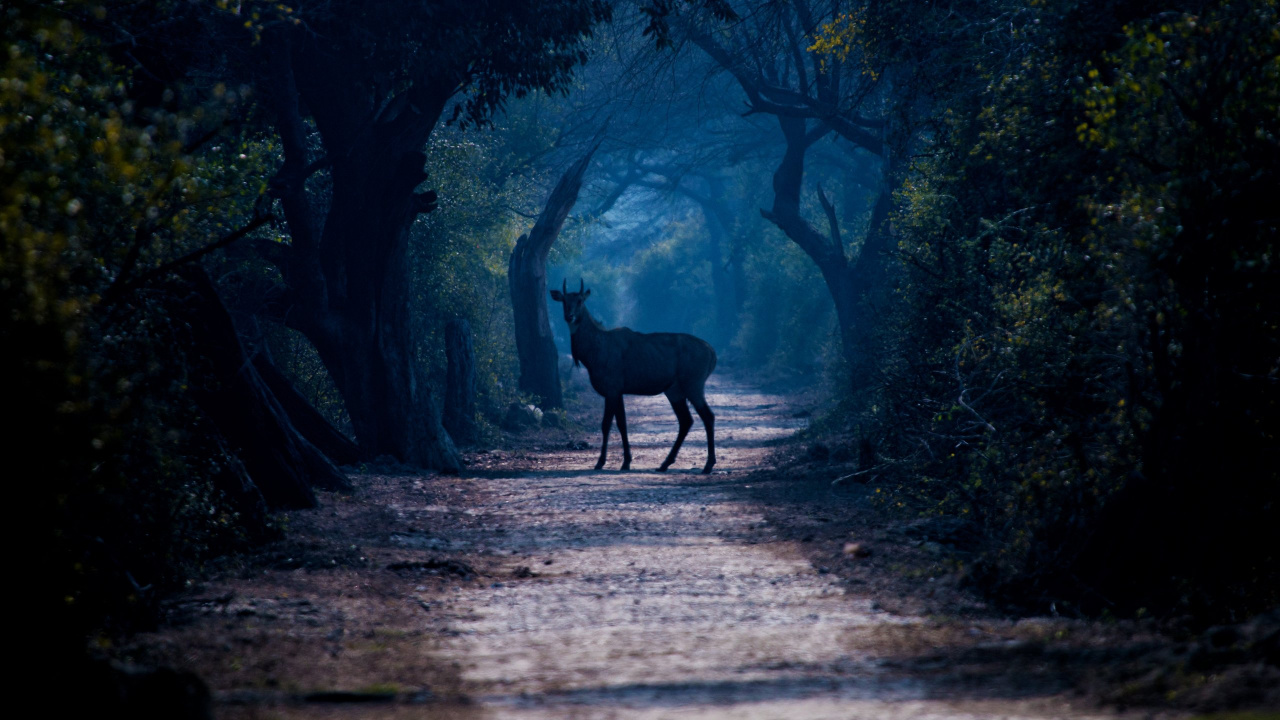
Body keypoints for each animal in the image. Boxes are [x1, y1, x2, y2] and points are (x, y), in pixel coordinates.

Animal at [550, 279, 718, 474]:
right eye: (564, 300)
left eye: (580, 301)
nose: (569, 316)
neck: (593, 353)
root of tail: (712, 353)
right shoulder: (618, 391)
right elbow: (622, 424)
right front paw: (626, 462)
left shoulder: (612, 388)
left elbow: (606, 424)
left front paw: (600, 462)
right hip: (674, 390)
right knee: (686, 420)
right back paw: (664, 464)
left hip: (694, 385)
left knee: (708, 416)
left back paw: (708, 465)